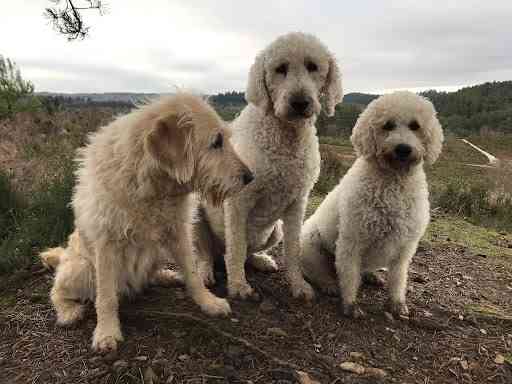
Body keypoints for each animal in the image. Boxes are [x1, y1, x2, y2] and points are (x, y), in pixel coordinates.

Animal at [40, 94, 254, 352]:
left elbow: (192, 274)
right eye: (216, 142)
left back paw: (166, 276)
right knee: (56, 290)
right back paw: (68, 311)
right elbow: (106, 297)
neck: (154, 189)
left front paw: (208, 302)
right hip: (81, 269)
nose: (250, 177)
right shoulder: (106, 245)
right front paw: (106, 332)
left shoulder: (178, 234)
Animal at [194, 32, 342, 300]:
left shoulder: (297, 204)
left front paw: (298, 285)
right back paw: (206, 271)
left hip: (276, 231)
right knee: (209, 253)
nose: (300, 102)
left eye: (313, 66)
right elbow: (236, 248)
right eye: (280, 68)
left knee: (246, 253)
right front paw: (239, 287)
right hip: (198, 215)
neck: (286, 137)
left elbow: (293, 251)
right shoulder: (238, 201)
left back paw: (261, 260)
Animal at [302, 91, 442, 316]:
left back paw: (371, 275)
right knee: (318, 273)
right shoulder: (352, 241)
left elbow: (398, 278)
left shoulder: (405, 248)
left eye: (415, 125)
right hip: (312, 247)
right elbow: (349, 276)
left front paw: (396, 303)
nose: (403, 149)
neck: (393, 182)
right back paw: (329, 285)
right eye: (387, 125)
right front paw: (350, 304)